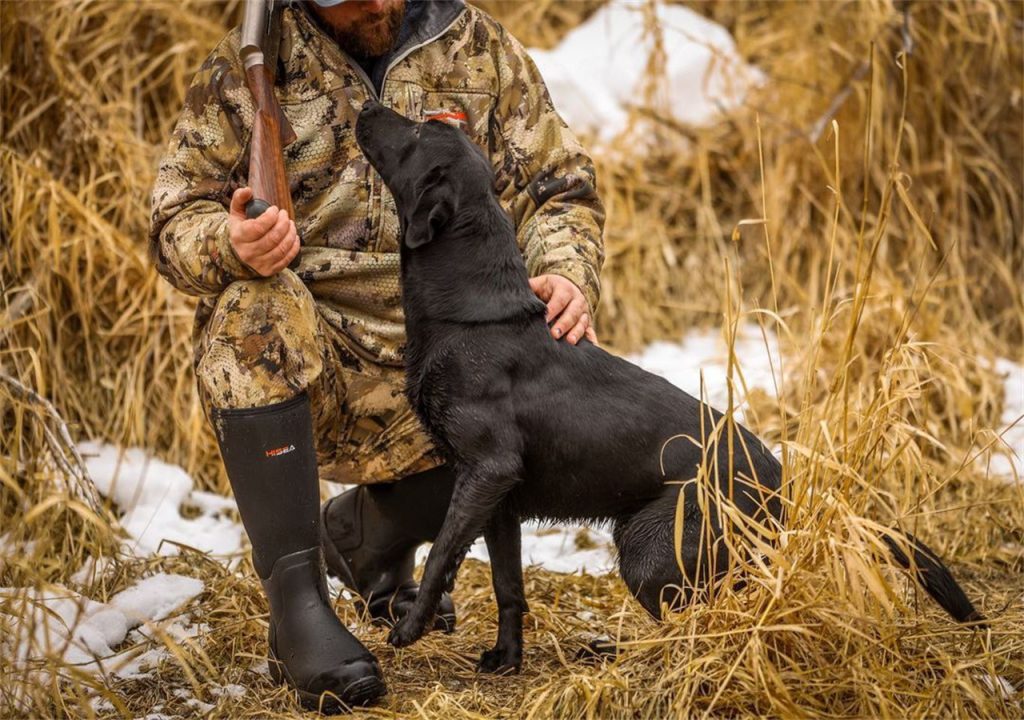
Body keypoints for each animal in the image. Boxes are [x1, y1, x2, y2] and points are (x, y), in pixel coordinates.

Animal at [354, 98, 983, 671]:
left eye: (415, 133)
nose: (364, 106)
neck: (472, 313)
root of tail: (785, 489)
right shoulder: (500, 498)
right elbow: (509, 586)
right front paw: (506, 658)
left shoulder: (485, 470)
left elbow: (440, 554)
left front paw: (409, 628)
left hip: (648, 546)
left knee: (702, 624)